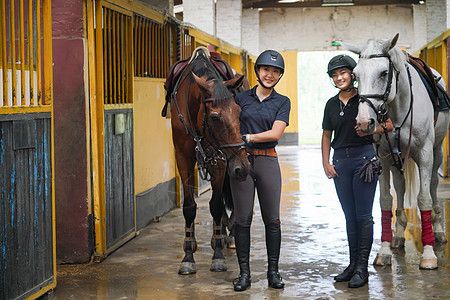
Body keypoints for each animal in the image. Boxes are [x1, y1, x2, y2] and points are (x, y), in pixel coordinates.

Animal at [168, 47, 248, 274]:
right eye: (214, 116)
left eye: (239, 112)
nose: (242, 167)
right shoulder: (182, 157)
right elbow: (189, 207)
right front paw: (188, 256)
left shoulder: (219, 159)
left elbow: (216, 206)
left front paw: (218, 254)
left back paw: (229, 235)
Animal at [342, 33, 448, 270]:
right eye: (355, 75)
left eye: (383, 73)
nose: (364, 122)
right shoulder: (383, 158)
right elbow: (385, 201)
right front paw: (384, 251)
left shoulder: (425, 155)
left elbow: (424, 199)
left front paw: (429, 255)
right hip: (396, 158)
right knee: (399, 187)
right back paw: (399, 235)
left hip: (436, 151)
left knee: (433, 186)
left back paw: (438, 231)